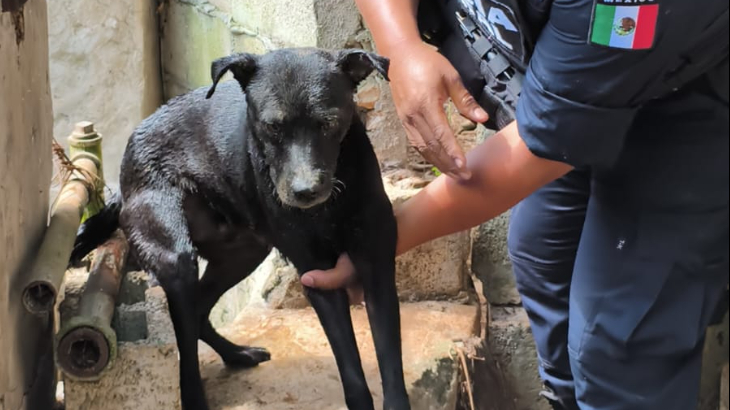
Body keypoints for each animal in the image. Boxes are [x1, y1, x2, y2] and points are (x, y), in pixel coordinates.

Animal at [71, 48, 412, 410]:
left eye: (329, 123)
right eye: (272, 126)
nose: (305, 192)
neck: (329, 206)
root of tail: (124, 175)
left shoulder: (376, 264)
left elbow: (390, 359)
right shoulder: (318, 276)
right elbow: (351, 371)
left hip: (244, 253)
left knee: (199, 311)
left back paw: (236, 355)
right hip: (176, 258)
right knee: (186, 337)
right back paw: (196, 396)